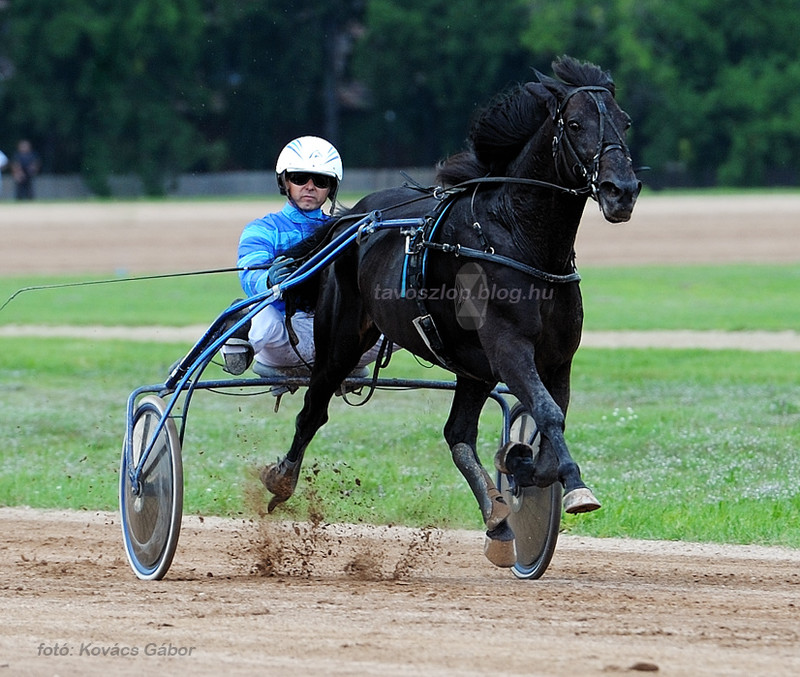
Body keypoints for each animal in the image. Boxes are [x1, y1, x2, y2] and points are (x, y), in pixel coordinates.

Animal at [260, 56, 640, 564]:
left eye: (624, 122)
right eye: (576, 124)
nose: (623, 190)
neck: (519, 238)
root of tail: (353, 217)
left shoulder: (557, 358)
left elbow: (545, 427)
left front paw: (518, 465)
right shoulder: (508, 347)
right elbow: (546, 413)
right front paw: (574, 486)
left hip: (471, 369)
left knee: (457, 434)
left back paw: (498, 522)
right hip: (340, 340)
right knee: (312, 411)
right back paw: (281, 479)